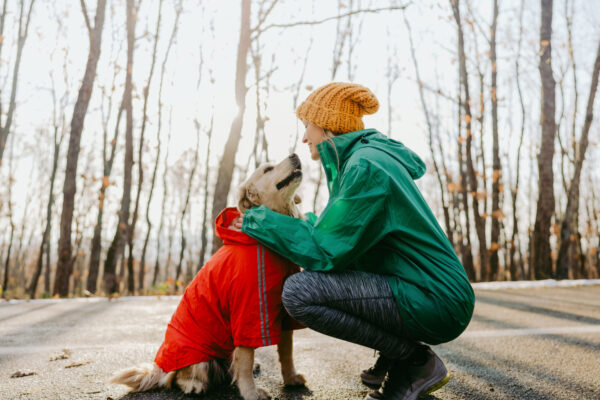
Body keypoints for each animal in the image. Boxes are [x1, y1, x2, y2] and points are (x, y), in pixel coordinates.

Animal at [109, 154, 304, 400]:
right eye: (268, 169)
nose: (295, 155)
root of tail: (161, 367)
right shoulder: (247, 312)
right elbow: (245, 359)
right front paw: (251, 392)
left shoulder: (284, 312)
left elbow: (287, 352)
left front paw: (291, 379)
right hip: (198, 358)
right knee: (178, 378)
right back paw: (193, 385)